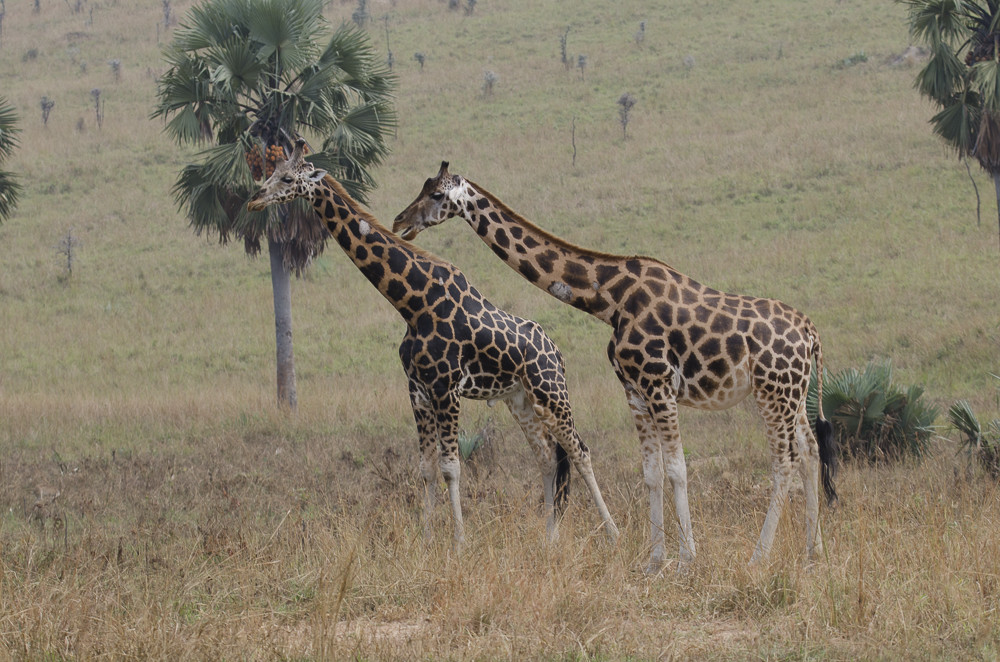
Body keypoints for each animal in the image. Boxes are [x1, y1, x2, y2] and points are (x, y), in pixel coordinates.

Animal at [247, 142, 619, 547]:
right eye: (268, 171)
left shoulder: (446, 388)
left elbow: (451, 467)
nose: (254, 199)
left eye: (286, 178)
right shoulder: (418, 390)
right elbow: (426, 468)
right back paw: (549, 537)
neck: (413, 304)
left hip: (551, 391)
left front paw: (459, 541)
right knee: (547, 456)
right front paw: (425, 539)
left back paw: (612, 532)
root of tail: (557, 352)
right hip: (520, 399)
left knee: (579, 451)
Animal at [393, 162, 837, 571]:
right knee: (810, 449)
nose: (400, 222)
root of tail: (812, 332)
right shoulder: (635, 389)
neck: (611, 300)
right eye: (422, 187)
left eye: (436, 194)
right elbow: (651, 472)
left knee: (784, 462)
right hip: (792, 394)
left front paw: (687, 558)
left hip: (774, 393)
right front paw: (655, 560)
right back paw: (813, 551)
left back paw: (759, 557)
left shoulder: (658, 382)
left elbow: (677, 468)